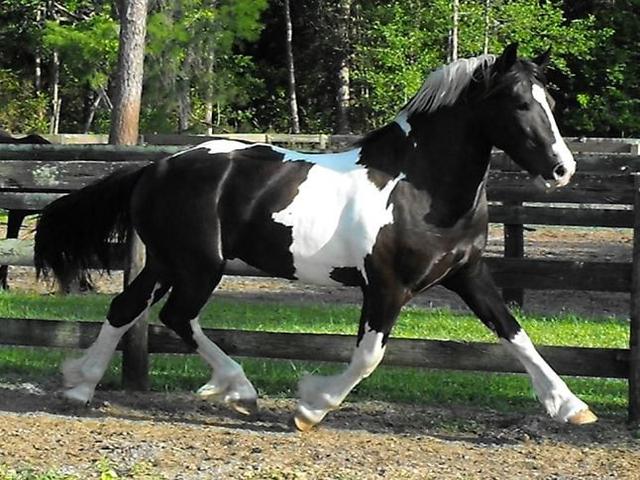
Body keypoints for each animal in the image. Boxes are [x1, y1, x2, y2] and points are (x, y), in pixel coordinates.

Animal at [33, 43, 597, 430]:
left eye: (549, 99)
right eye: (519, 102)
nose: (562, 169)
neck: (417, 188)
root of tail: (156, 167)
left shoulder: (469, 275)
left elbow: (515, 332)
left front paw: (571, 406)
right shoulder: (386, 287)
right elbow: (368, 356)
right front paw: (310, 406)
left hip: (166, 261)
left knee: (126, 308)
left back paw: (80, 387)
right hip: (199, 265)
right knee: (176, 316)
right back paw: (239, 390)